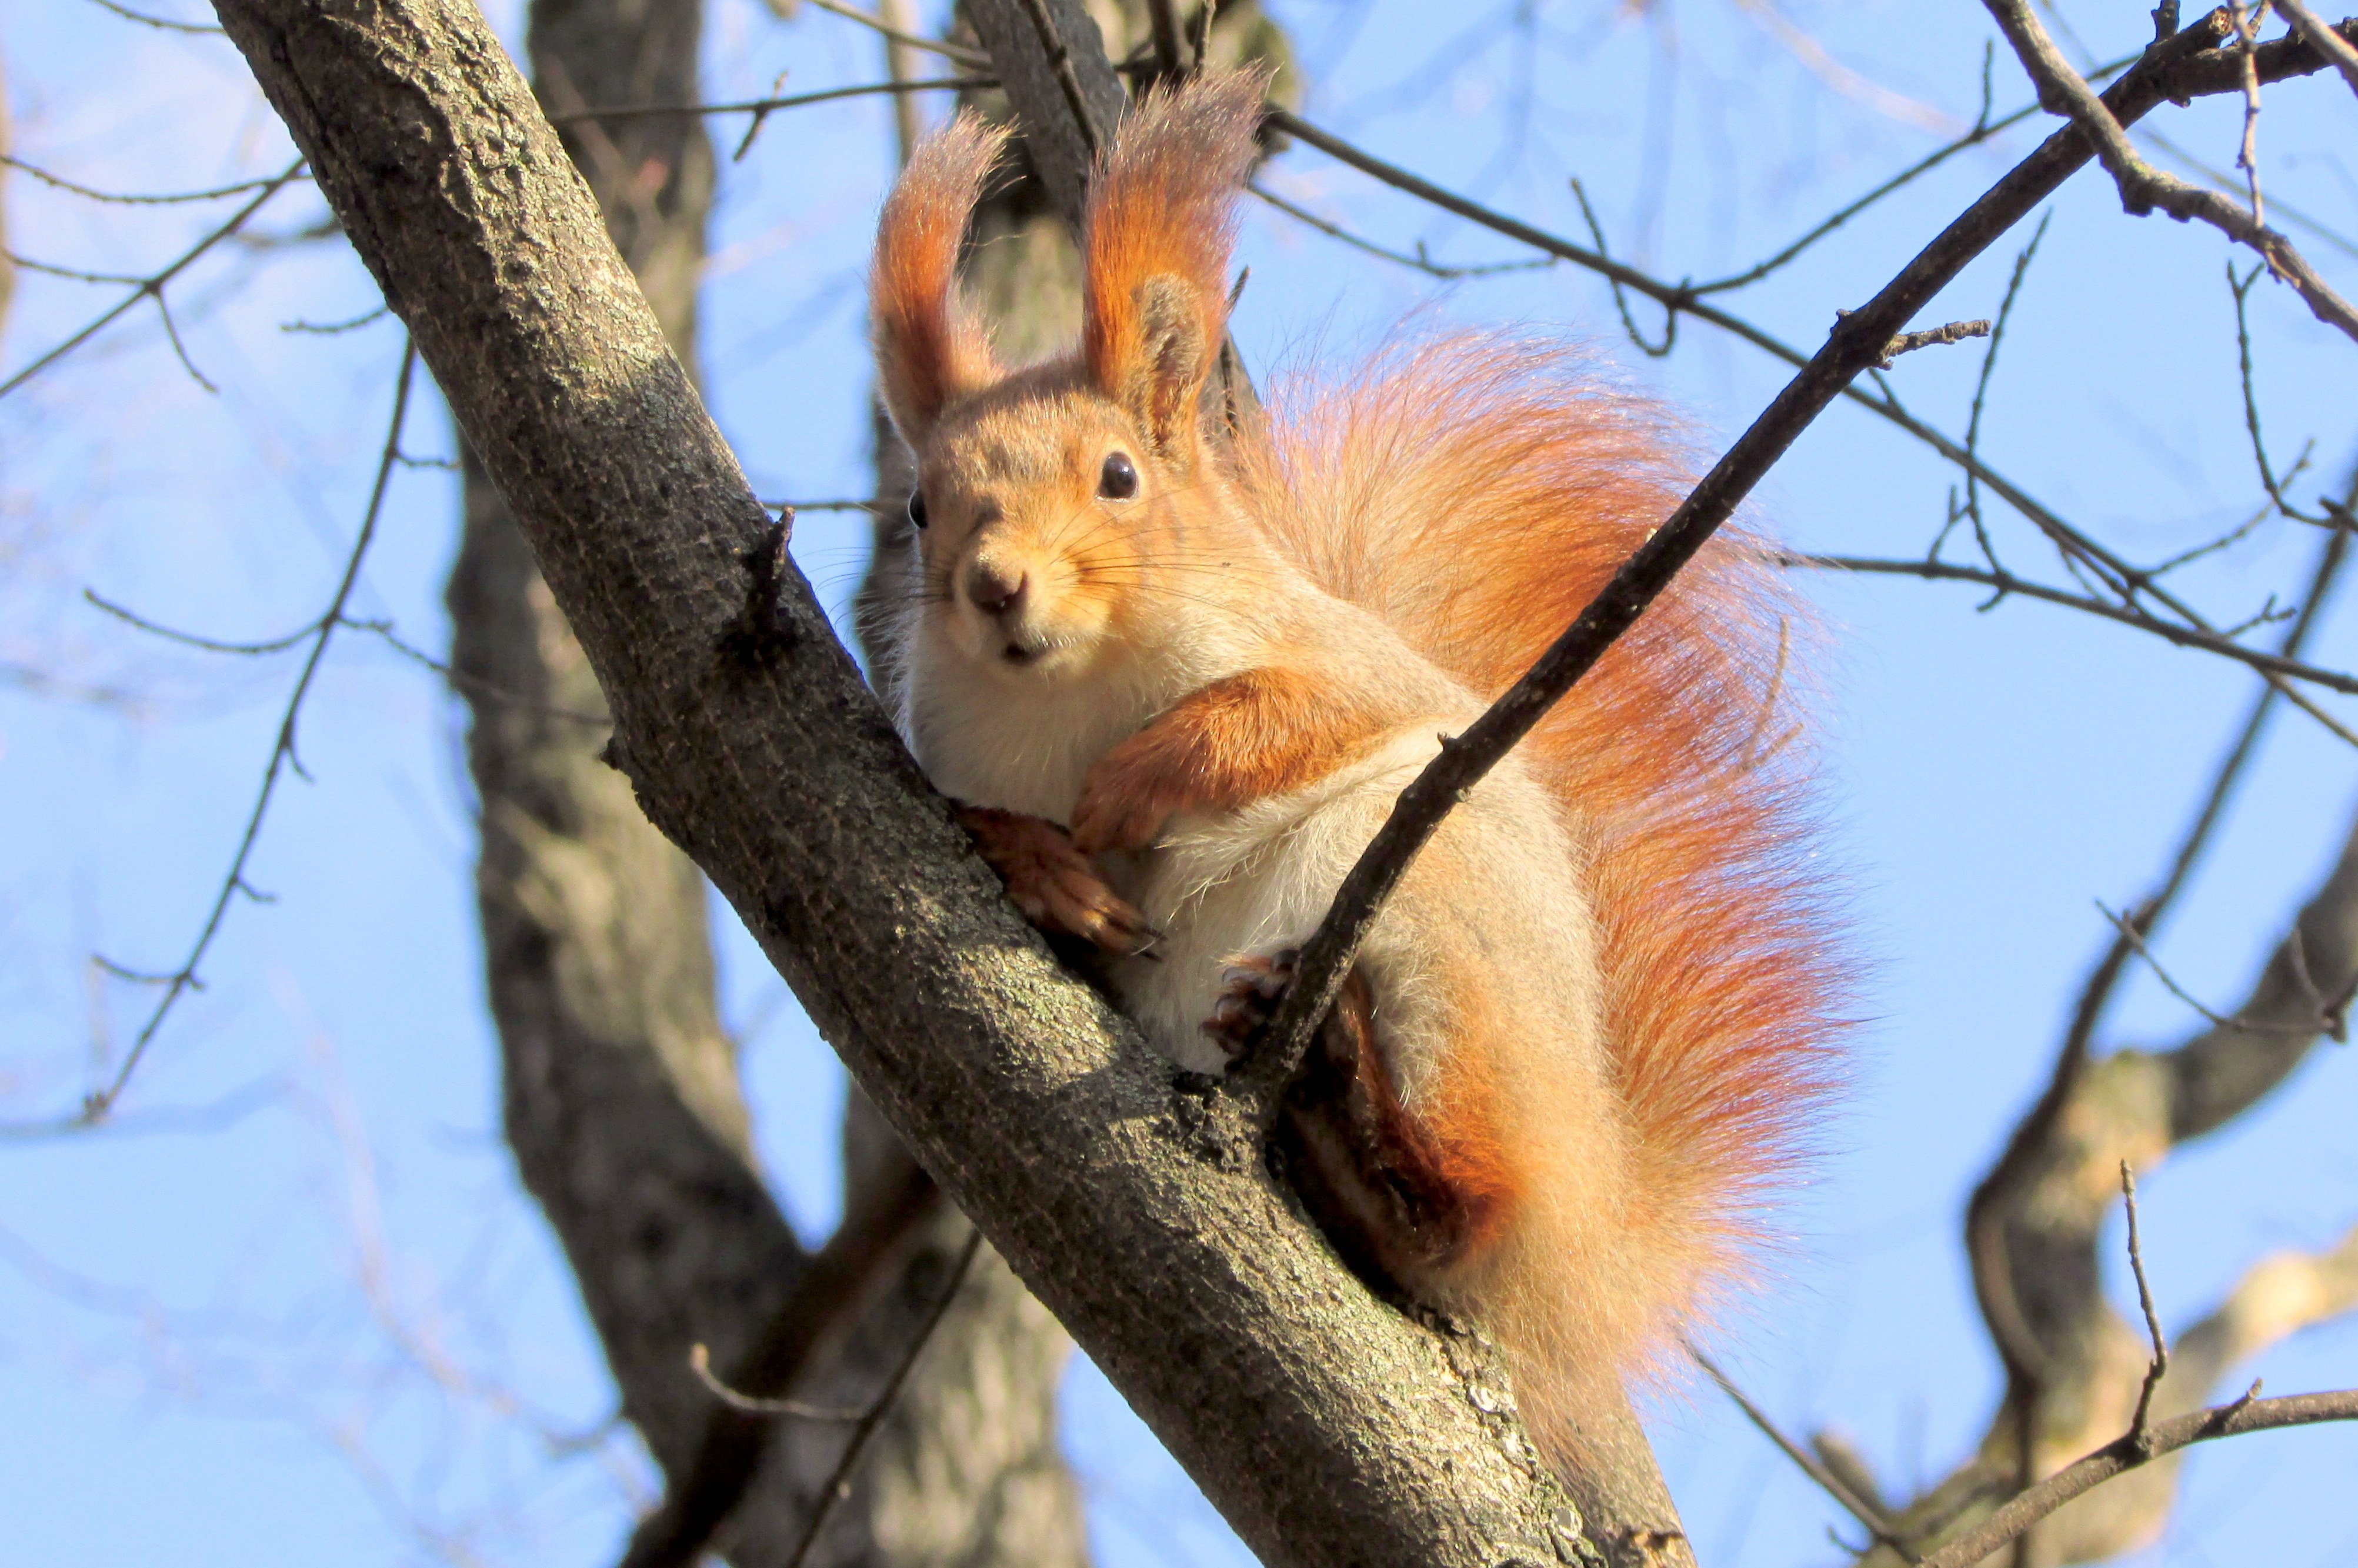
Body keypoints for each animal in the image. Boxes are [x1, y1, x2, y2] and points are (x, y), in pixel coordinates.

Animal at [868, 73, 1839, 1490]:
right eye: (920, 511)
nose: (996, 589)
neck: (1069, 689)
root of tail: (1595, 1235)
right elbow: (983, 818)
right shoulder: (945, 746)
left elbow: (1299, 714)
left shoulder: (1361, 675)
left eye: (1119, 476)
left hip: (1439, 943)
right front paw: (1047, 865)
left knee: (1464, 1204)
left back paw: (1357, 1106)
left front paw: (1134, 783)